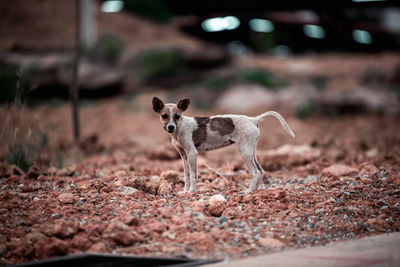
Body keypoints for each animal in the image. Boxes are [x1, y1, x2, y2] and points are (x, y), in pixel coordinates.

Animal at [152, 97, 296, 194]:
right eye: (164, 116)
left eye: (177, 116)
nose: (171, 127)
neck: (180, 128)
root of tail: (253, 119)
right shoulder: (184, 156)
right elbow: (187, 176)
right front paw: (185, 191)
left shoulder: (192, 154)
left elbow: (193, 176)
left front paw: (192, 191)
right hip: (251, 151)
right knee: (260, 171)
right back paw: (253, 190)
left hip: (245, 152)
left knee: (255, 172)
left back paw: (248, 192)